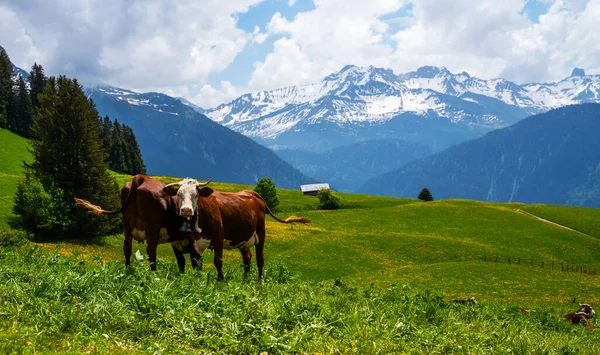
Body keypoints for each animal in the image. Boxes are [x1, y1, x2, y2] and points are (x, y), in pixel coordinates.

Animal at [76, 175, 210, 272]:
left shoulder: (177, 242)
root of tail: (141, 178)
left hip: (127, 226)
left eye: (196, 194)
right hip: (152, 228)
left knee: (127, 248)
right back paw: (154, 274)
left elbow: (182, 262)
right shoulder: (193, 243)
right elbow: (196, 263)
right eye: (179, 194)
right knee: (151, 250)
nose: (187, 210)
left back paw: (128, 270)